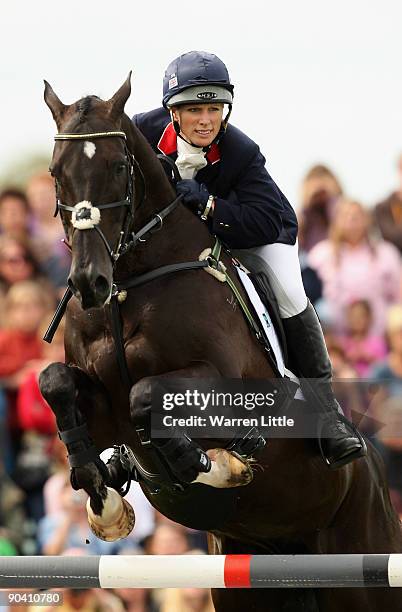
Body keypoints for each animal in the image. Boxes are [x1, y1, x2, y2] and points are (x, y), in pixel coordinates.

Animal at [40, 76, 402, 612]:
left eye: (118, 167)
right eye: (56, 172)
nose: (89, 283)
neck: (130, 286)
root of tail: (377, 475)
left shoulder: (227, 392)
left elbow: (146, 394)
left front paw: (210, 465)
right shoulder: (103, 411)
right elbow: (56, 383)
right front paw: (104, 503)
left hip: (362, 565)